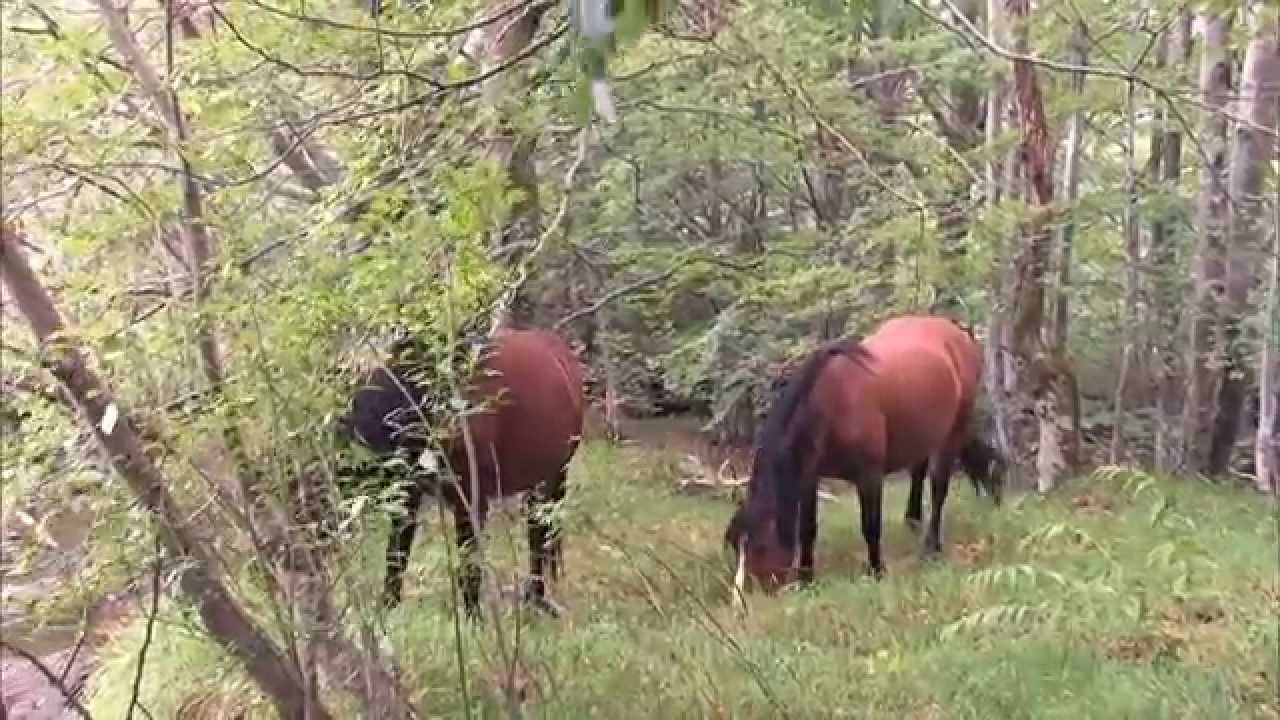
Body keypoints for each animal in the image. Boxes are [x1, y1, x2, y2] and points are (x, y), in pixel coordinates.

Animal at [336, 327, 585, 619]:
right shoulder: (409, 494)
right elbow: (396, 556)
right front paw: (388, 609)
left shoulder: (472, 499)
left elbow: (469, 565)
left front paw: (473, 620)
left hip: (555, 476)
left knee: (540, 534)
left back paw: (538, 598)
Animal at [724, 314, 993, 594]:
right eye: (735, 545)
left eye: (760, 546)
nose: (742, 598)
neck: (833, 403)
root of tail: (957, 330)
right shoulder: (809, 476)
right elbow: (807, 529)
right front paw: (807, 579)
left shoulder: (869, 477)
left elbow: (871, 526)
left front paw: (877, 571)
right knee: (918, 470)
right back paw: (913, 521)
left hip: (954, 431)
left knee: (939, 488)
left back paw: (932, 547)